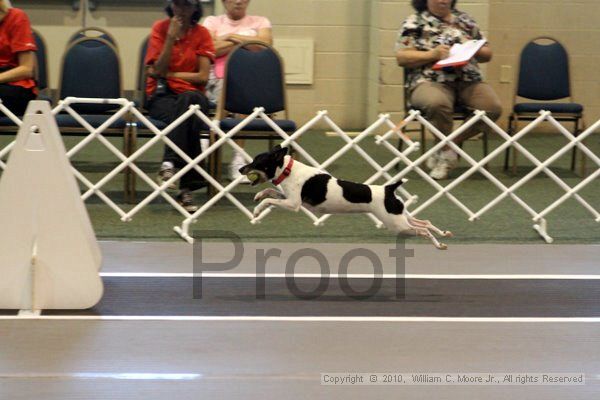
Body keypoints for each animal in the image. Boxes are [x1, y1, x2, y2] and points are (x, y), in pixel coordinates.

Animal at [239, 145, 454, 248]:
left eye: (257, 162)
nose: (241, 169)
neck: (287, 170)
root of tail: (388, 189)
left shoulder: (294, 204)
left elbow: (270, 200)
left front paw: (256, 211)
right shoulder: (289, 198)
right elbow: (270, 193)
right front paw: (258, 196)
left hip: (396, 223)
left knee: (422, 230)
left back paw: (439, 244)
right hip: (401, 215)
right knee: (425, 222)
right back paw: (444, 236)